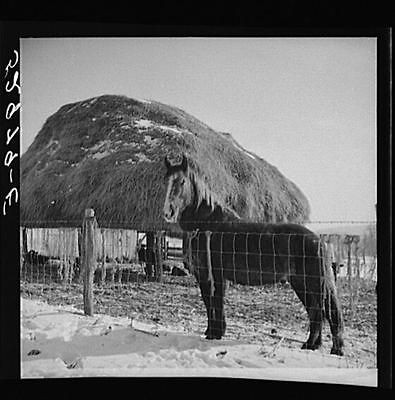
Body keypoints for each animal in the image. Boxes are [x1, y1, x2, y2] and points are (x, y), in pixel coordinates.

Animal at [162, 155, 344, 354]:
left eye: (182, 181)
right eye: (165, 179)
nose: (168, 212)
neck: (208, 226)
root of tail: (320, 242)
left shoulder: (213, 275)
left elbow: (214, 301)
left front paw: (214, 334)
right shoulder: (208, 275)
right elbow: (210, 301)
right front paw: (213, 331)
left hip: (313, 283)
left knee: (321, 311)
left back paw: (319, 346)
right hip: (301, 283)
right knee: (317, 312)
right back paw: (314, 345)